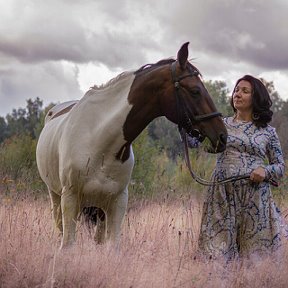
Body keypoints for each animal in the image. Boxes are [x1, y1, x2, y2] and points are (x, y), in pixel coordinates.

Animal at [36, 42, 227, 248]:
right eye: (195, 91)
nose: (222, 136)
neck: (98, 140)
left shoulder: (117, 202)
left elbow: (112, 247)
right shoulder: (70, 200)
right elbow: (68, 246)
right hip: (57, 198)